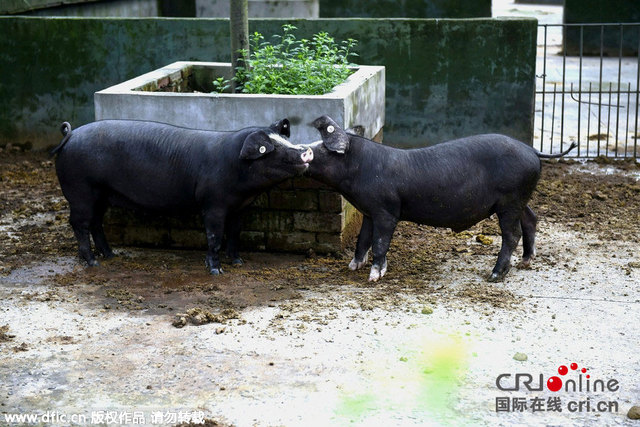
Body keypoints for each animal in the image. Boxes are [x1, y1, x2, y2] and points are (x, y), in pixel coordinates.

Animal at [52, 118, 312, 276]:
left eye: (285, 140)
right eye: (270, 149)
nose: (305, 150)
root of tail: (70, 135)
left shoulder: (239, 207)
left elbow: (234, 233)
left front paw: (238, 262)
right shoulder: (212, 204)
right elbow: (214, 237)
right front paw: (216, 271)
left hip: (101, 194)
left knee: (96, 222)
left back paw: (110, 255)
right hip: (80, 190)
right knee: (79, 223)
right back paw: (92, 262)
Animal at [304, 117, 576, 282]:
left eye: (323, 149)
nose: (302, 150)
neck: (361, 167)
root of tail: (532, 150)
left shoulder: (386, 210)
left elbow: (380, 243)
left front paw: (374, 277)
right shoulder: (368, 211)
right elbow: (362, 240)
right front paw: (352, 267)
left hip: (510, 199)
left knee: (512, 234)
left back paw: (494, 275)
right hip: (519, 198)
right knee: (531, 218)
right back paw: (526, 262)